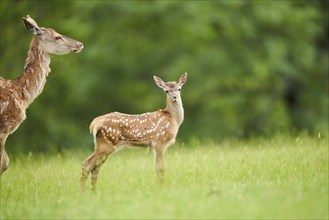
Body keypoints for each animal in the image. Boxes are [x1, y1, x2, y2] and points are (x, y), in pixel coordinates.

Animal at [0, 15, 84, 175]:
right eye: (57, 37)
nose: (80, 44)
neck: (21, 95)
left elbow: (5, 162)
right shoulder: (5, 125)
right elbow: (4, 162)